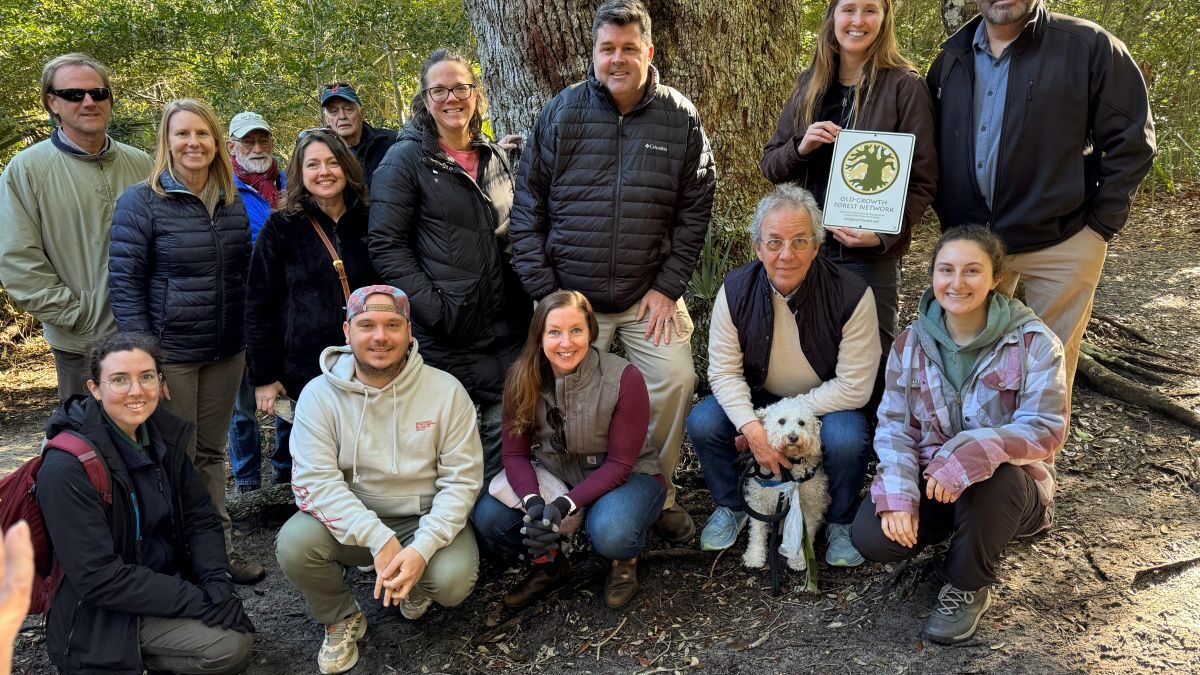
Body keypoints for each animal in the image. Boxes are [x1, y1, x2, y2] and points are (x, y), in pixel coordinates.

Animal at [739, 393, 825, 566]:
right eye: (781, 421)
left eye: (801, 423)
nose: (793, 437)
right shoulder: (759, 503)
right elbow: (757, 532)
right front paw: (754, 556)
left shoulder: (810, 507)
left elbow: (804, 533)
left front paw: (799, 559)